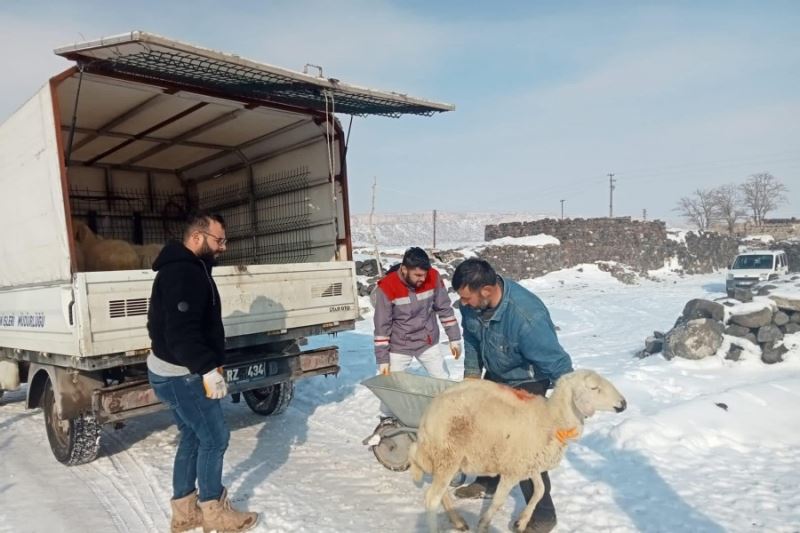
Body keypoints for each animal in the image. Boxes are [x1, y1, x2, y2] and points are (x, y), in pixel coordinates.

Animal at [410, 370, 628, 532]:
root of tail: (427, 416)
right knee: (431, 499)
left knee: (441, 493)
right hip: (448, 455)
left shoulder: (529, 464)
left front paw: (521, 522)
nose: (623, 404)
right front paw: (484, 524)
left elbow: (540, 490)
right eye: (594, 388)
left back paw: (458, 521)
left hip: (447, 459)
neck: (552, 418)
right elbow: (498, 501)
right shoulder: (512, 470)